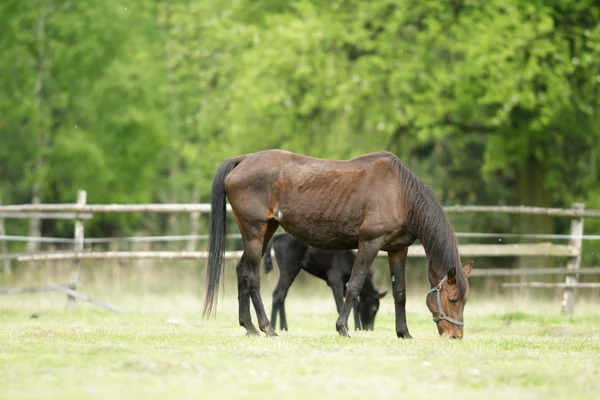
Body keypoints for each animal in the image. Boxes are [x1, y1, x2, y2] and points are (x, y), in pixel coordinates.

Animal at [202, 149, 474, 338]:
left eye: (465, 300)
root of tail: (244, 159)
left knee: (242, 271)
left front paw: (403, 332)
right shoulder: (369, 243)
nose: (456, 336)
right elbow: (353, 286)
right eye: (452, 300)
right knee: (252, 276)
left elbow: (400, 292)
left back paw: (249, 327)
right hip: (255, 231)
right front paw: (343, 327)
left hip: (266, 230)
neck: (400, 194)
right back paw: (267, 327)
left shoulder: (397, 249)